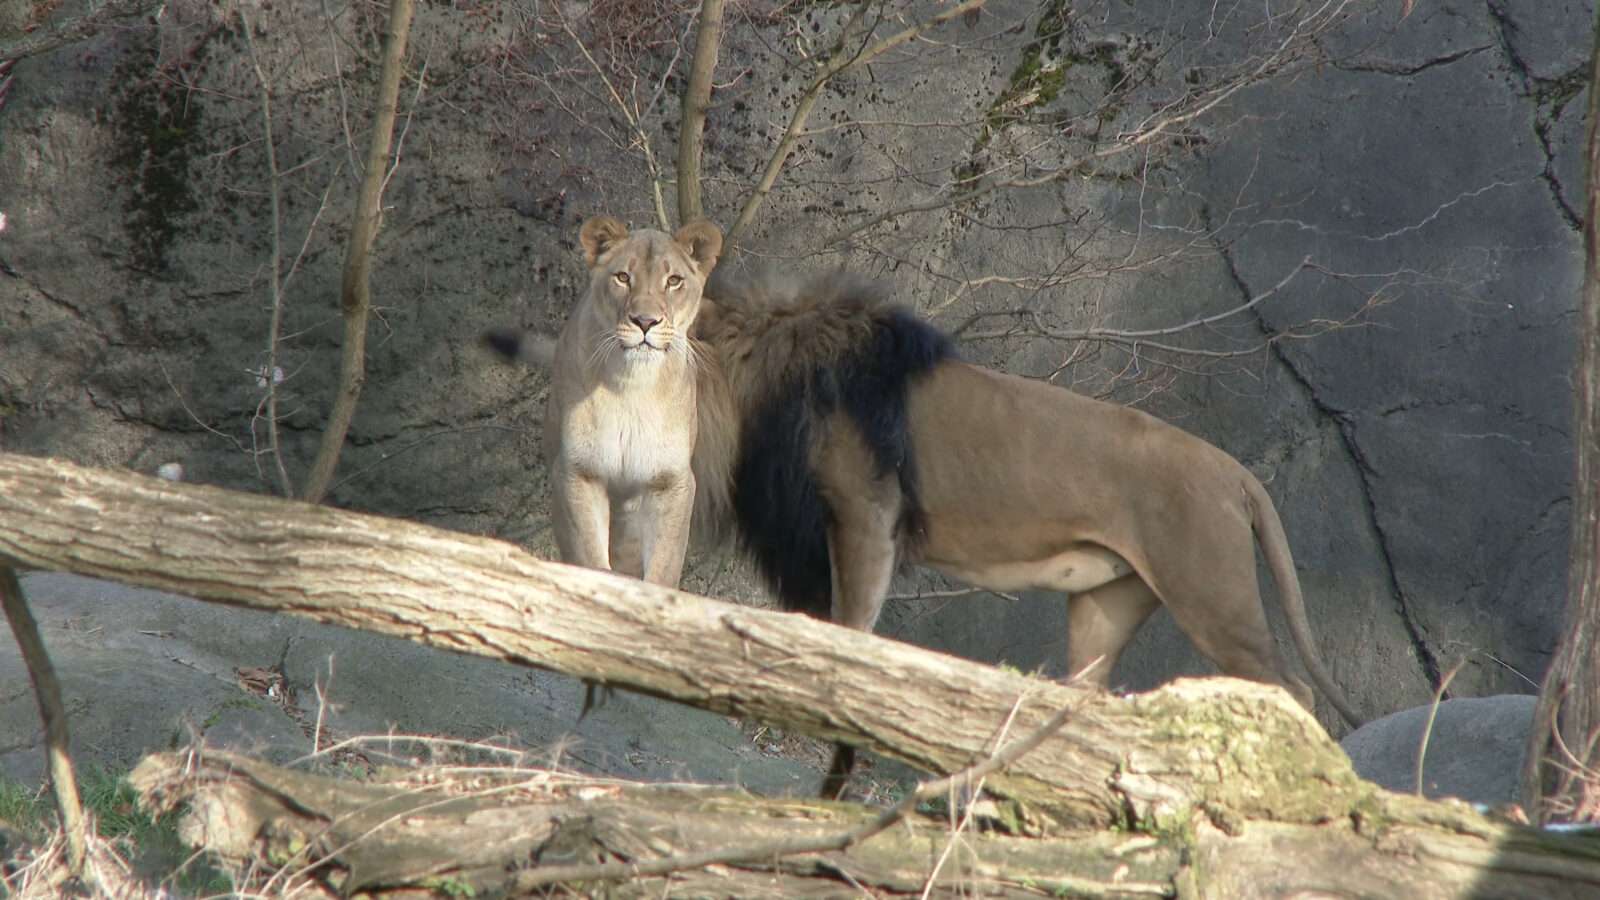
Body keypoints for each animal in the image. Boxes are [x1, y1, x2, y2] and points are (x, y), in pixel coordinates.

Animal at [499, 214, 726, 586]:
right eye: (623, 277)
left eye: (674, 281)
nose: (645, 321)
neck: (633, 386)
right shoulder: (579, 472)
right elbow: (590, 560)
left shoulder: (671, 482)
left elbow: (663, 568)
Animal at [694, 272, 1369, 791]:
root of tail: (1237, 474)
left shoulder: (864, 517)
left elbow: (852, 647)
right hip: (1106, 606)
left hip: (1212, 598)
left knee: (1293, 691)